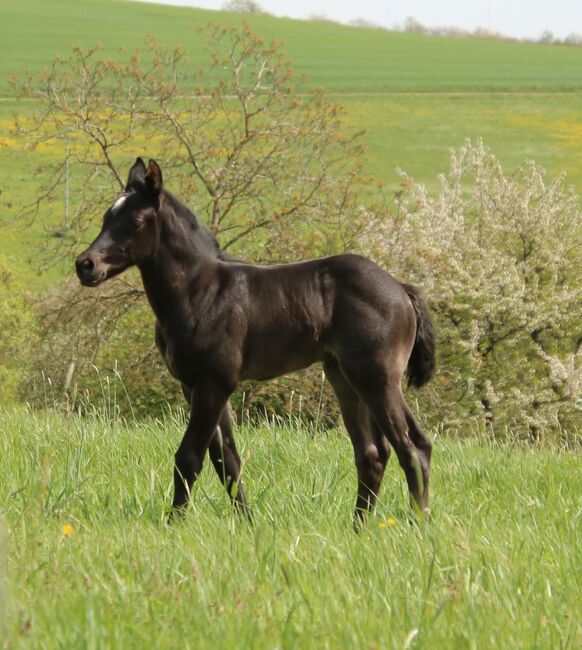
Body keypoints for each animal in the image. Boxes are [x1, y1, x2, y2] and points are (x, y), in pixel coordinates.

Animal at [75, 159, 436, 524]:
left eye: (134, 222)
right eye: (106, 217)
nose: (85, 265)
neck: (198, 291)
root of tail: (401, 289)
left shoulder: (215, 382)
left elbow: (189, 457)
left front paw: (173, 524)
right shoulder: (194, 385)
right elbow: (227, 460)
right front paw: (247, 522)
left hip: (377, 377)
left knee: (413, 447)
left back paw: (417, 523)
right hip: (344, 377)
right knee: (372, 453)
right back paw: (358, 527)